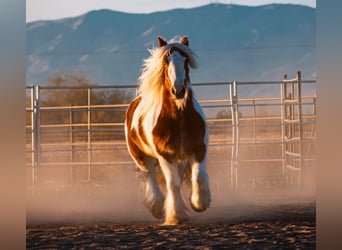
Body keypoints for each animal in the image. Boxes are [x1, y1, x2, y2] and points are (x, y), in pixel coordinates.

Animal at [124, 35, 210, 225]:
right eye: (166, 61)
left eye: (185, 60)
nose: (178, 90)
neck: (179, 118)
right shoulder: (165, 155)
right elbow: (172, 183)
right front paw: (177, 215)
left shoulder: (198, 148)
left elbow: (198, 175)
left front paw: (199, 203)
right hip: (139, 156)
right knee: (150, 176)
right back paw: (157, 206)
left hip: (181, 158)